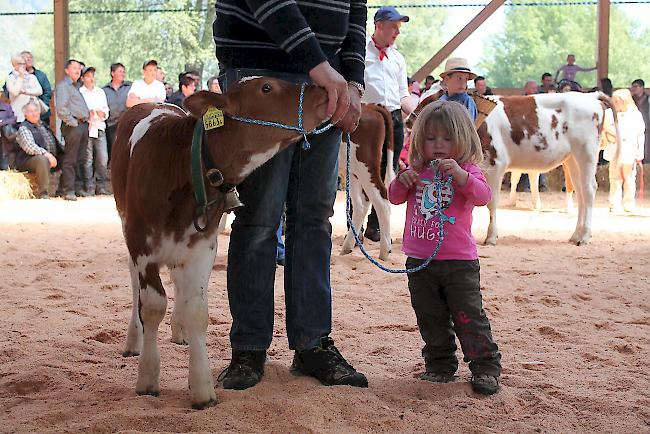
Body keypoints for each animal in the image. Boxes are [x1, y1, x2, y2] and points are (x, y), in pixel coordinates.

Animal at [110, 77, 330, 406]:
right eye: (266, 87)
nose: (325, 90)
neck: (186, 164)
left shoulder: (203, 246)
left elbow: (198, 311)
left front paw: (202, 387)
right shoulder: (142, 245)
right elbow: (152, 306)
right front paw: (148, 377)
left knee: (179, 282)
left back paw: (179, 330)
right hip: (128, 228)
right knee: (135, 285)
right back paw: (133, 340)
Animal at [336, 103, 392, 260]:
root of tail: (371, 107)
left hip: (365, 165)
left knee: (382, 201)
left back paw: (384, 252)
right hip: (353, 171)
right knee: (361, 204)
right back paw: (347, 247)